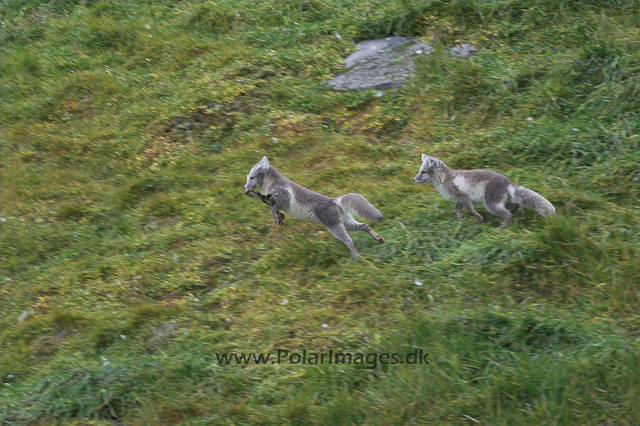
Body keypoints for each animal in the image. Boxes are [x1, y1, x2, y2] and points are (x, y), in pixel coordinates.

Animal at [244, 156, 384, 258]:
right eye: (247, 177)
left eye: (252, 177)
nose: (245, 187)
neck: (270, 184)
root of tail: (335, 201)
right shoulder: (274, 199)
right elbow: (272, 207)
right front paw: (280, 216)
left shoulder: (284, 195)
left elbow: (273, 209)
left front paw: (279, 218)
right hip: (347, 224)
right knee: (365, 226)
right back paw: (379, 239)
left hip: (334, 226)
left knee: (349, 241)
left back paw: (356, 258)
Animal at [416, 154, 556, 226]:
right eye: (419, 171)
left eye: (423, 172)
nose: (414, 179)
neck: (445, 179)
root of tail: (508, 182)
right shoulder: (458, 199)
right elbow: (456, 209)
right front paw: (460, 217)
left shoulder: (463, 197)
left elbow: (470, 210)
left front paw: (479, 218)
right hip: (501, 201)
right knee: (514, 206)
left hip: (490, 203)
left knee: (507, 214)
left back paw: (502, 227)